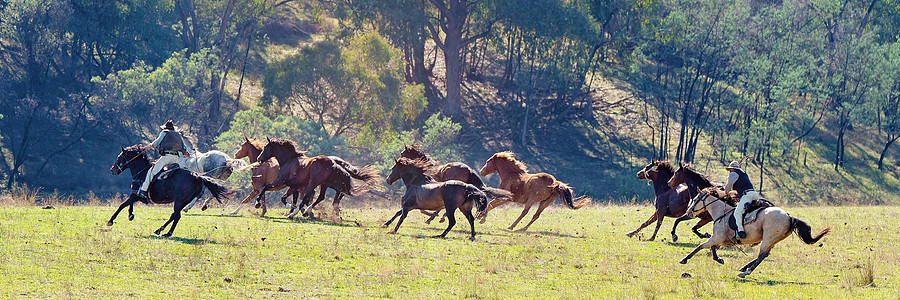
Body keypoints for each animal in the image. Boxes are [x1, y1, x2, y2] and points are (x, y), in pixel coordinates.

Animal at [107, 145, 236, 237]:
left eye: (119, 157)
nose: (112, 170)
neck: (142, 173)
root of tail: (197, 176)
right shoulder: (135, 195)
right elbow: (129, 205)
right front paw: (130, 215)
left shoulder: (136, 195)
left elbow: (122, 205)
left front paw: (111, 221)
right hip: (182, 202)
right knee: (174, 216)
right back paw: (161, 230)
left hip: (179, 201)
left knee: (176, 216)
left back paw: (165, 232)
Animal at [676, 186, 828, 278]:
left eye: (695, 199)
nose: (688, 212)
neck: (720, 212)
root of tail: (789, 216)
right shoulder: (722, 240)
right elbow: (712, 249)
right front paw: (719, 259)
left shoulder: (716, 237)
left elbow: (700, 246)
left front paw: (684, 259)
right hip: (773, 240)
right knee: (765, 254)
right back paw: (744, 268)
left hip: (768, 238)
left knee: (762, 255)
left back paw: (746, 272)